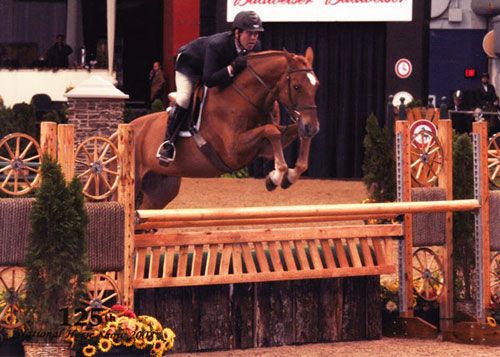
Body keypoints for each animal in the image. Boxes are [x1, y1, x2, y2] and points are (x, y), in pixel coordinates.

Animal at [132, 48, 320, 209]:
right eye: (297, 86)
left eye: (317, 85)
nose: (312, 127)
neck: (242, 98)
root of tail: (129, 127)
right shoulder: (233, 151)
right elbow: (271, 131)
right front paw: (276, 176)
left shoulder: (264, 148)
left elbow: (291, 135)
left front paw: (290, 175)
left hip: (161, 190)